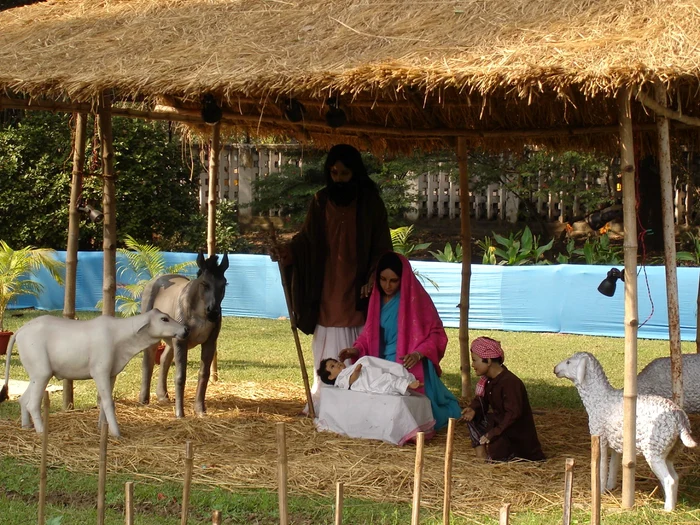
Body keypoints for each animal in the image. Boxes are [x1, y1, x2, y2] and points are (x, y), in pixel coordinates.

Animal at [0, 310, 187, 436]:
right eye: (164, 319)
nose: (185, 330)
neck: (120, 336)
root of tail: (21, 330)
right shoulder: (100, 372)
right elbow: (109, 402)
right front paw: (116, 433)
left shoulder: (111, 375)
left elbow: (103, 402)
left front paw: (103, 427)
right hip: (42, 374)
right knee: (32, 403)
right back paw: (40, 431)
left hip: (36, 376)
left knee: (24, 399)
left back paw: (26, 426)